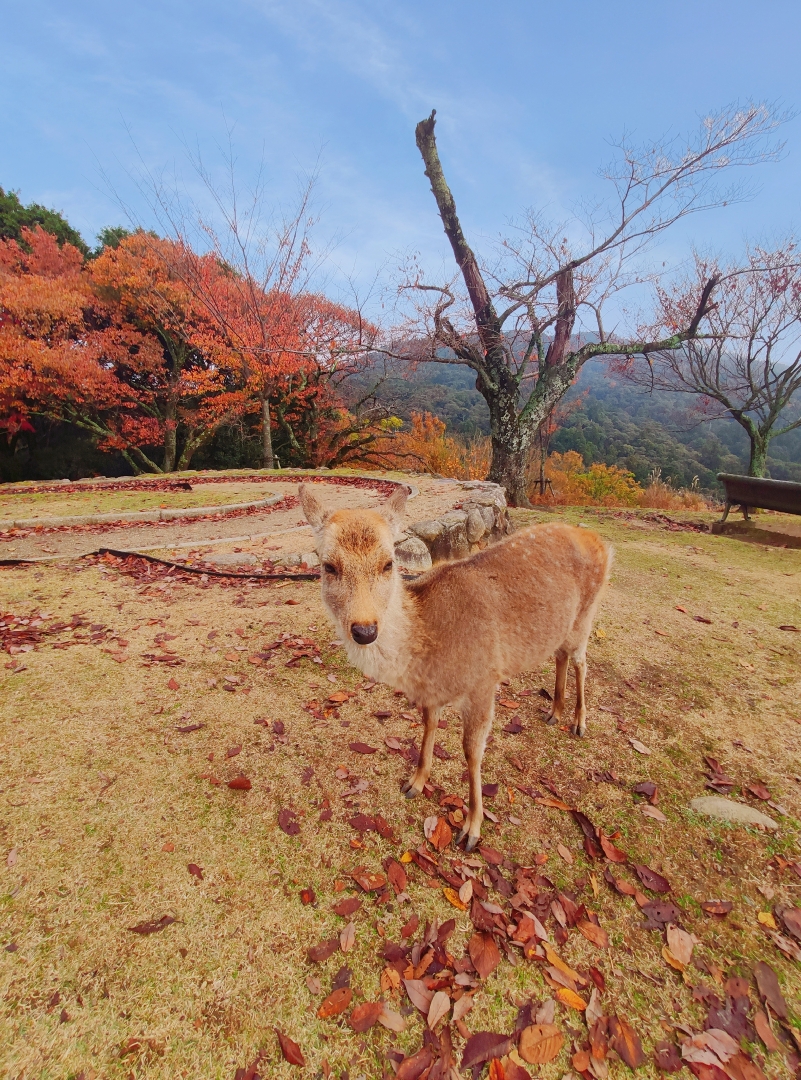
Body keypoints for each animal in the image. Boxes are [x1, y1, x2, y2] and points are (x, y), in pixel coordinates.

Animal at [302, 483, 613, 851]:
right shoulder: (432, 692)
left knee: (581, 660)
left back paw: (579, 722)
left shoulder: (484, 681)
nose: (365, 630)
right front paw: (415, 783)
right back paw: (554, 712)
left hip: (586, 616)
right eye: (328, 566)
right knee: (561, 654)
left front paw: (472, 828)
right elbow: (429, 725)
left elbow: (472, 752)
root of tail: (599, 540)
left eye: (389, 563)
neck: (429, 652)